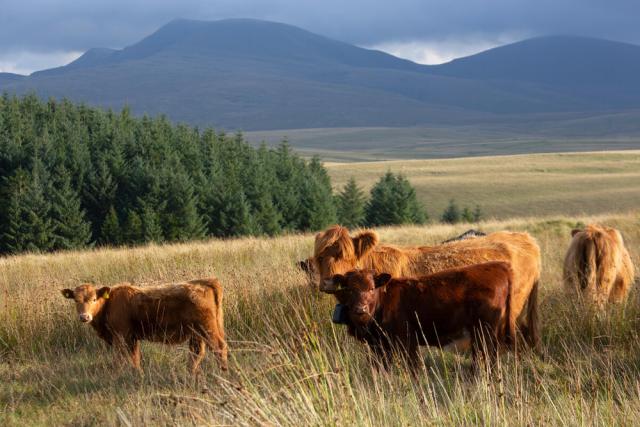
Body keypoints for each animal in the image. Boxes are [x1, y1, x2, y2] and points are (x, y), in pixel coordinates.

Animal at [61, 278, 228, 373]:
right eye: (76, 300)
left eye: (94, 299)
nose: (84, 317)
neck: (109, 304)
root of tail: (205, 281)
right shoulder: (132, 338)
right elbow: (135, 358)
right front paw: (138, 374)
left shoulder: (121, 337)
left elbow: (121, 358)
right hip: (197, 332)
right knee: (197, 352)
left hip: (207, 328)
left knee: (219, 347)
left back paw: (223, 374)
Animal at [321, 262, 515, 371]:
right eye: (349, 289)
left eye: (371, 288)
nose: (360, 310)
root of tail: (500, 267)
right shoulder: (379, 346)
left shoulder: (407, 342)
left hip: (485, 334)